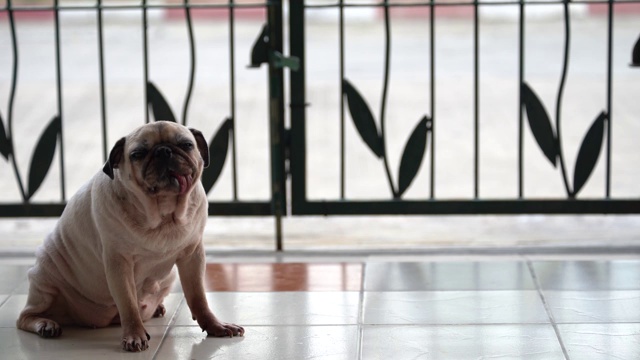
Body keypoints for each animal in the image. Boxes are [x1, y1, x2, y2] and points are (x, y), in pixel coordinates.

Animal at [17, 121, 244, 352]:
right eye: (138, 154)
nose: (164, 151)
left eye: (186, 144)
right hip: (44, 278)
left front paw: (215, 325)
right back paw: (46, 324)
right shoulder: (119, 263)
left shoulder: (192, 256)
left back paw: (157, 308)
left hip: (169, 278)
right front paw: (135, 335)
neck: (163, 213)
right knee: (25, 316)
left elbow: (198, 297)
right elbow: (128, 304)